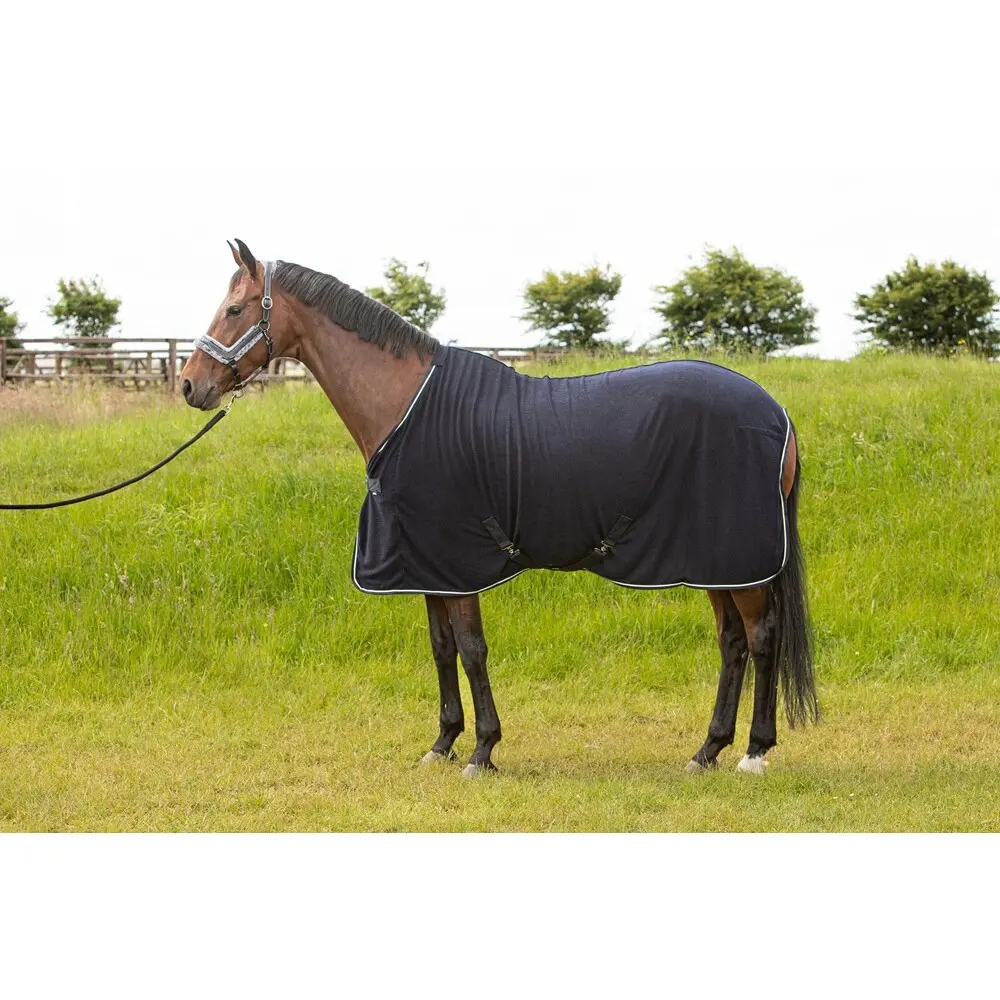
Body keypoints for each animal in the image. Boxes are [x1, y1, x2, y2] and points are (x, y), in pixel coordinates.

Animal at [181, 239, 818, 777]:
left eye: (234, 310)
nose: (190, 385)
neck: (406, 406)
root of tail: (778, 414)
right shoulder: (428, 566)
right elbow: (442, 650)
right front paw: (442, 743)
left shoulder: (458, 565)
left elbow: (472, 650)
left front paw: (482, 750)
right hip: (714, 561)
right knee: (732, 643)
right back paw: (707, 750)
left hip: (737, 561)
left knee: (761, 638)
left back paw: (754, 752)